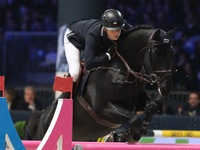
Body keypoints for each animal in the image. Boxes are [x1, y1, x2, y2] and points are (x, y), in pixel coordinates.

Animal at [24, 25, 176, 142]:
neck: (122, 70)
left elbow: (152, 107)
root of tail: (40, 118)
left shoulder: (134, 102)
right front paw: (128, 135)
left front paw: (132, 134)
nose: (166, 88)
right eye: (156, 52)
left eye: (172, 52)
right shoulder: (102, 107)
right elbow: (134, 119)